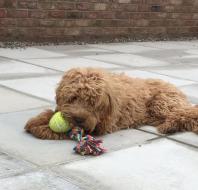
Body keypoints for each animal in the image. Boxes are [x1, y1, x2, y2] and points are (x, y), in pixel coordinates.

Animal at [24, 67, 198, 139]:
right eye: (73, 98)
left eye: (92, 102)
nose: (79, 119)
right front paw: (38, 120)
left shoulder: (101, 125)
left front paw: (42, 128)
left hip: (162, 104)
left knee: (187, 113)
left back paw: (170, 126)